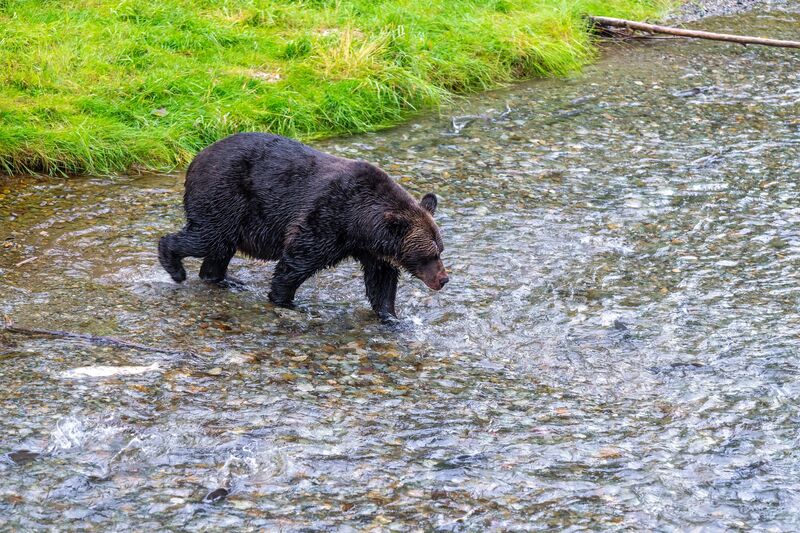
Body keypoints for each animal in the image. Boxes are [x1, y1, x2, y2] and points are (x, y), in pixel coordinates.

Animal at [158, 132, 448, 321]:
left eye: (440, 250)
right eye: (429, 254)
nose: (443, 279)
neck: (360, 224)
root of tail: (196, 158)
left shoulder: (373, 251)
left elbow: (381, 282)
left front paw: (391, 317)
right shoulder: (327, 217)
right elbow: (297, 260)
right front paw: (285, 300)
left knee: (219, 248)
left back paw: (226, 280)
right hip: (224, 196)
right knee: (206, 237)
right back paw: (175, 268)